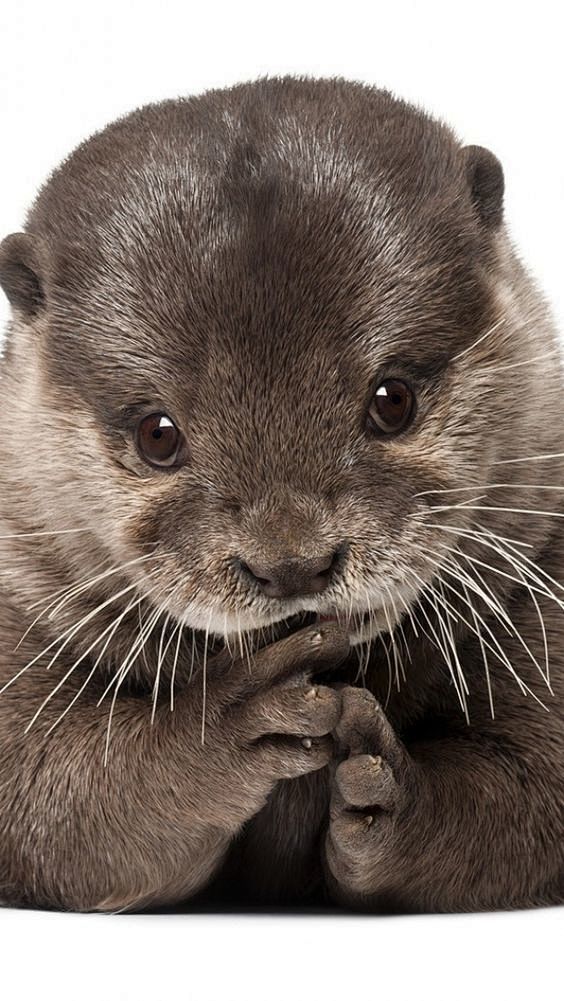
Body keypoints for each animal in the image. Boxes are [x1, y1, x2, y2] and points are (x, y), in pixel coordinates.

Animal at [0, 74, 563, 914]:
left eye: (392, 398)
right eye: (158, 434)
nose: (292, 563)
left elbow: (536, 787)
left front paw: (390, 792)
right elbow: (45, 793)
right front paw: (225, 725)